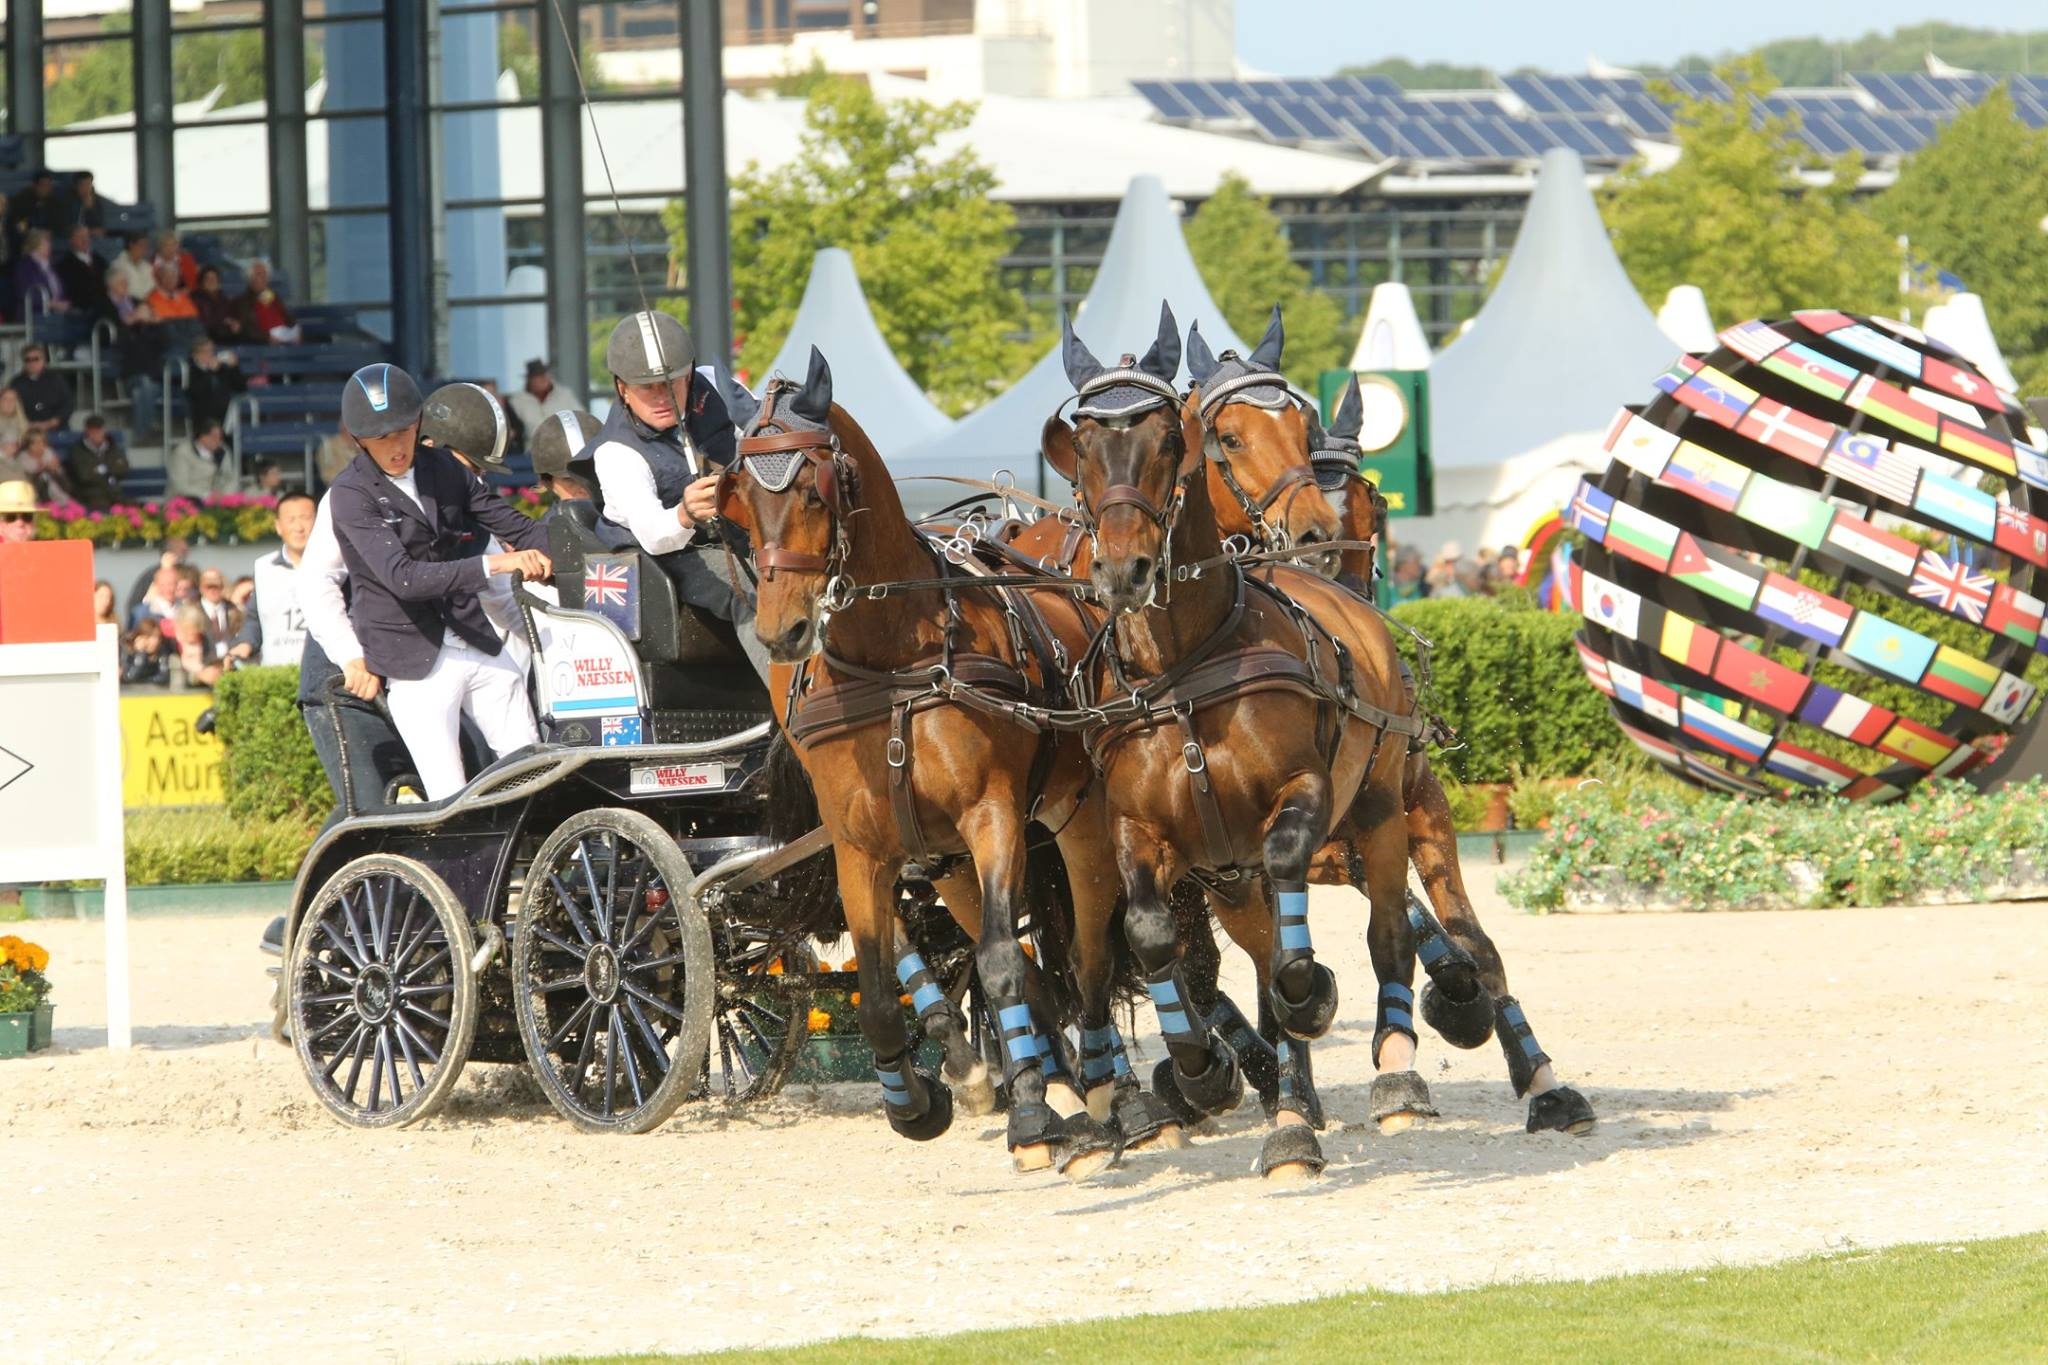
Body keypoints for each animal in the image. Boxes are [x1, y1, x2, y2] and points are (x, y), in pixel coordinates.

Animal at [716, 347, 1187, 1178]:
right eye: (738, 492)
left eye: (812, 486)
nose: (783, 629)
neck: (891, 658)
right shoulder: (861, 844)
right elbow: (881, 991)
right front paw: (924, 1101)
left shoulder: (992, 814)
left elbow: (1004, 963)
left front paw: (1030, 1110)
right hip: (947, 864)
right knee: (1035, 967)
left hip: (1076, 826)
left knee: (1088, 954)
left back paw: (1112, 1094)